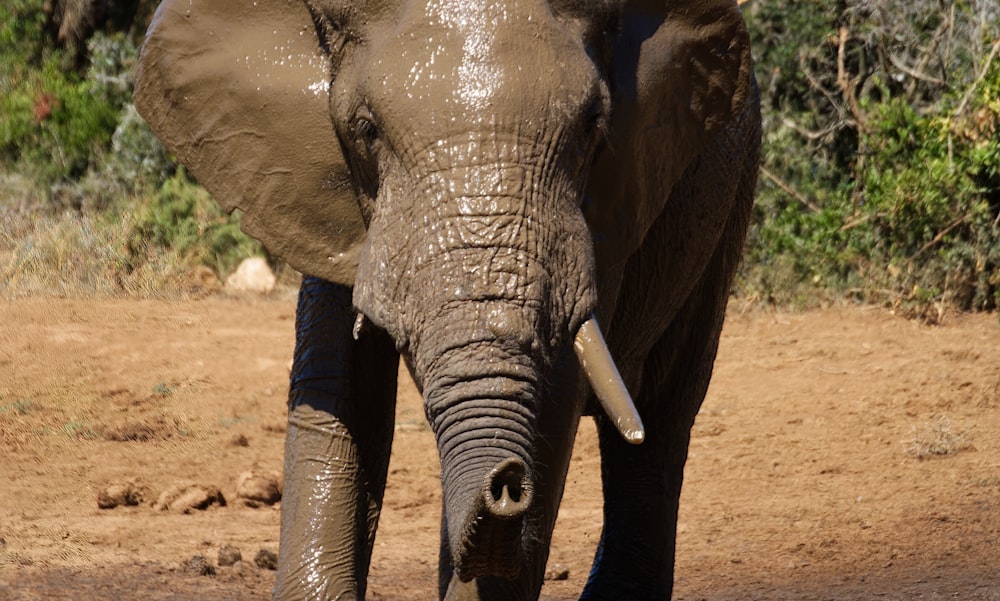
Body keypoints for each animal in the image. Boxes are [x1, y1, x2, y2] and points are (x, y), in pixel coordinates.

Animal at [133, 0, 756, 596]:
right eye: (366, 129)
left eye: (592, 127)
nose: (506, 481)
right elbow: (340, 387)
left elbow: (554, 399)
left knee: (662, 417)